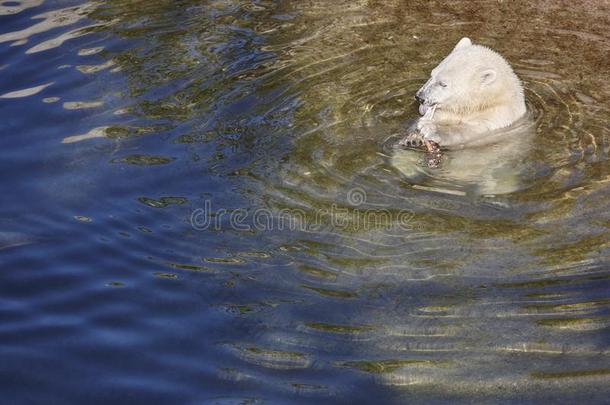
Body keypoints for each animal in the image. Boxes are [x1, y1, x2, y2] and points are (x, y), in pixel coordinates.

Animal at [396, 37, 524, 148]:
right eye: (432, 75)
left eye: (443, 84)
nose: (419, 97)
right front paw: (414, 138)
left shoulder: (498, 118)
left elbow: (469, 131)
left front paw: (431, 129)